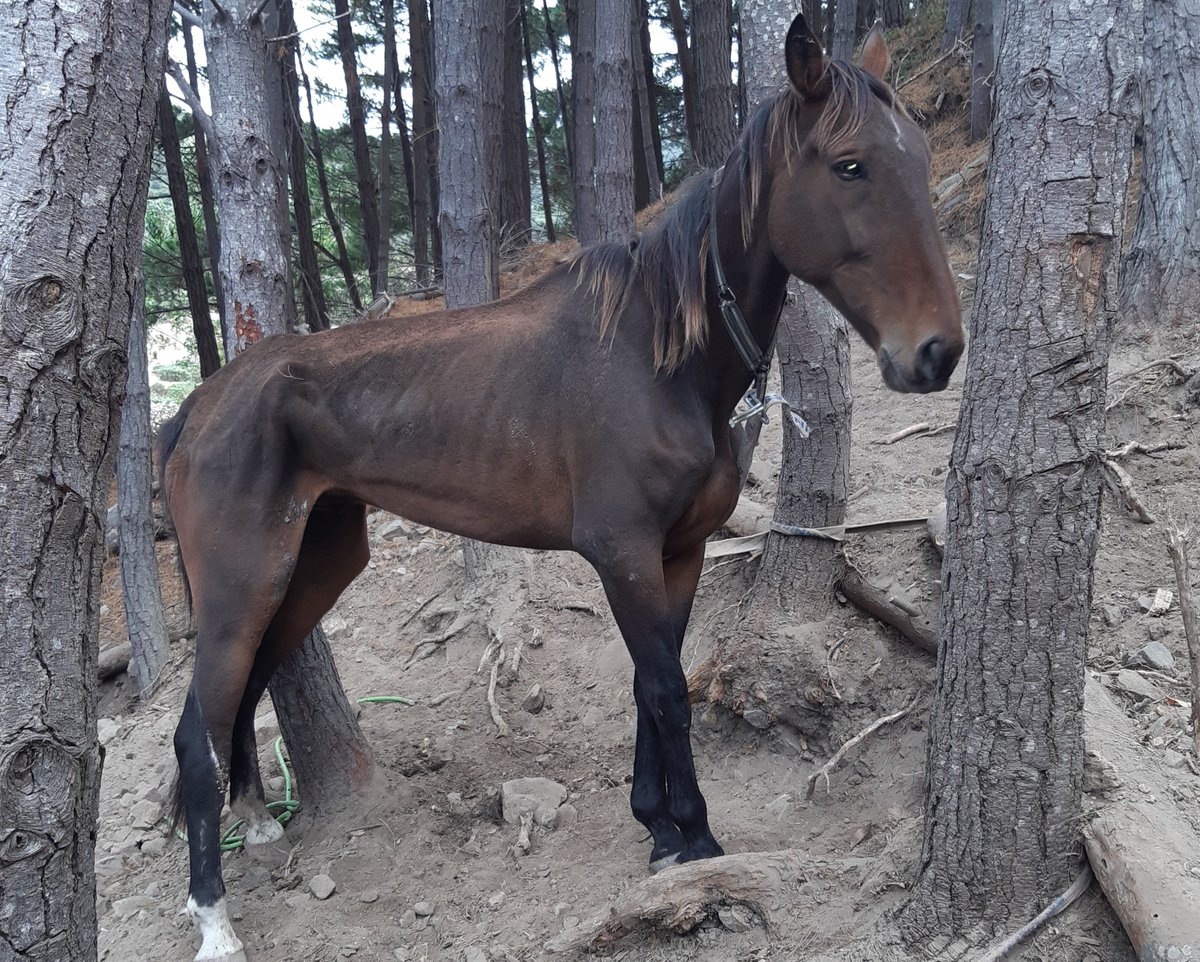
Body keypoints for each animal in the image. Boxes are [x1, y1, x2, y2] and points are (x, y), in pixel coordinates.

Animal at [160, 16, 963, 960]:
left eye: (918, 156)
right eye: (849, 165)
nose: (937, 352)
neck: (657, 356)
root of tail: (200, 404)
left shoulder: (679, 552)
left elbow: (655, 684)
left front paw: (657, 826)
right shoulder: (621, 553)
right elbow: (666, 690)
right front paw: (696, 838)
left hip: (314, 566)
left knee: (244, 694)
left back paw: (256, 829)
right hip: (243, 585)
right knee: (195, 733)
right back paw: (214, 919)